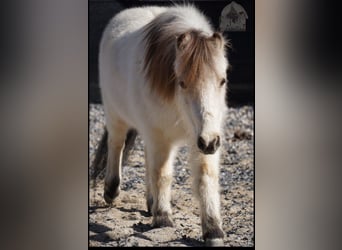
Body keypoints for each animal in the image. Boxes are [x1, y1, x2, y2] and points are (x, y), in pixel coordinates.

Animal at [97, 3, 228, 246]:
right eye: (182, 82)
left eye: (222, 80)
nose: (209, 142)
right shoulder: (162, 138)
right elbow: (163, 174)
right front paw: (164, 219)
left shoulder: (202, 138)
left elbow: (206, 177)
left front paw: (213, 230)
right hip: (115, 115)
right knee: (116, 144)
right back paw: (112, 191)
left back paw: (151, 204)